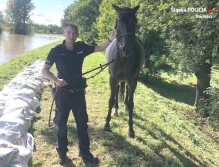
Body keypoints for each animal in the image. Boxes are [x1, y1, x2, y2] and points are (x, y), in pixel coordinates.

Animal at [105, 4, 145, 138]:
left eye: (135, 21)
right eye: (119, 21)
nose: (127, 49)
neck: (123, 58)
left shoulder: (133, 81)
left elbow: (132, 103)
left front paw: (131, 129)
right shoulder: (113, 80)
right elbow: (111, 100)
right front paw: (107, 124)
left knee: (126, 91)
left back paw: (125, 107)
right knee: (118, 91)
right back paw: (116, 110)